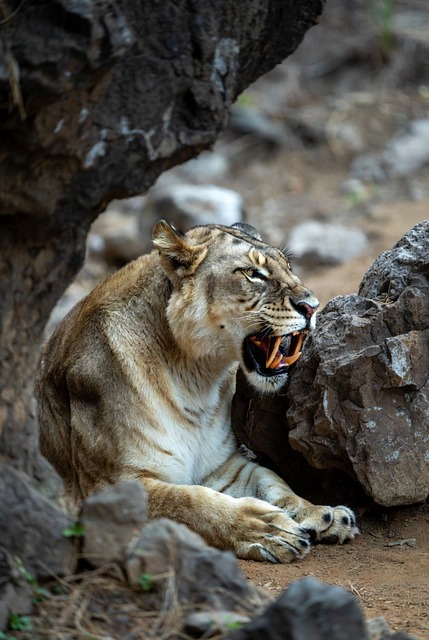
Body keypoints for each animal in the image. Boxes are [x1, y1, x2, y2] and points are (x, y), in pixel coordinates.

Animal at [36, 220, 358, 563]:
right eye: (253, 273)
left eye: (289, 267)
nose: (312, 306)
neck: (196, 379)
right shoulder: (108, 489)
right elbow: (192, 503)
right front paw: (266, 529)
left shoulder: (221, 466)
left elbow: (271, 481)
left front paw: (322, 514)